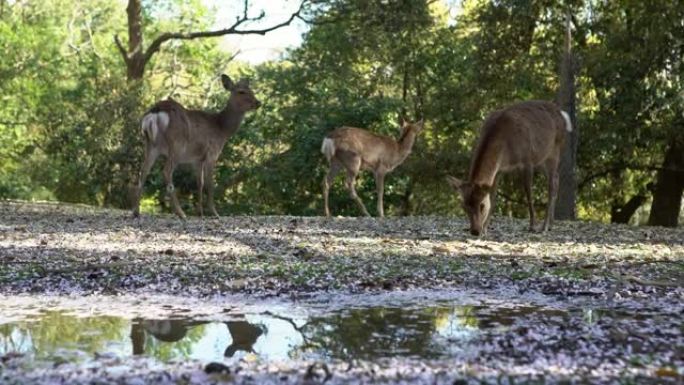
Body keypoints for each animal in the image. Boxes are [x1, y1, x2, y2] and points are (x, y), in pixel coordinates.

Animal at [132, 73, 260, 218]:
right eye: (241, 91)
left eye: (251, 89)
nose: (258, 103)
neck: (222, 129)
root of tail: (155, 112)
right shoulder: (212, 153)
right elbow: (210, 183)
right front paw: (214, 212)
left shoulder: (197, 159)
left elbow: (200, 183)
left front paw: (200, 213)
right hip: (177, 145)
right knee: (166, 171)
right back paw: (181, 213)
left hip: (151, 144)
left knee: (143, 171)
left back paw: (136, 212)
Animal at [446, 99, 576, 236]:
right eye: (464, 206)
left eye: (482, 205)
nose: (475, 231)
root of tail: (562, 114)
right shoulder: (499, 170)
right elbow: (493, 196)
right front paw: (486, 227)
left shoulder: (527, 160)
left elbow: (529, 195)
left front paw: (532, 226)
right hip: (542, 159)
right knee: (556, 180)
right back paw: (551, 224)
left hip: (554, 151)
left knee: (551, 185)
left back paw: (544, 226)